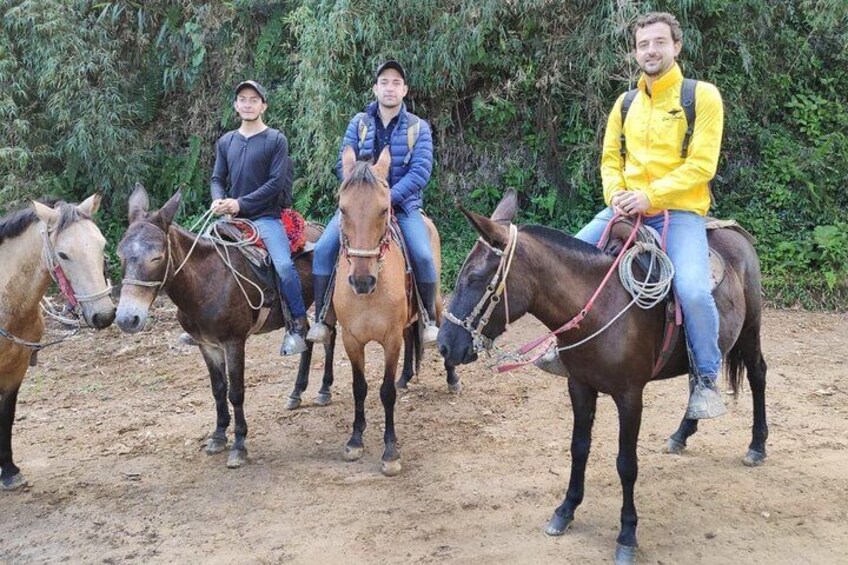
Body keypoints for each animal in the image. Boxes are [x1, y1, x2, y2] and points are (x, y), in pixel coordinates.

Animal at [0, 195, 116, 490]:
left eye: (102, 245)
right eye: (63, 255)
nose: (104, 315)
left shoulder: (16, 369)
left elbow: (7, 415)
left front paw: (9, 471)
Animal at [113, 185, 338, 468]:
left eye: (157, 256)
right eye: (120, 254)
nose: (126, 319)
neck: (208, 282)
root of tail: (318, 227)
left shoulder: (234, 343)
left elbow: (236, 392)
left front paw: (239, 445)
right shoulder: (207, 345)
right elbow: (218, 390)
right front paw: (219, 436)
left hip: (329, 299)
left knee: (329, 337)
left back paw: (324, 390)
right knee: (305, 336)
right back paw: (296, 393)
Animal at [334, 147, 460, 476]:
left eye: (383, 210)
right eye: (342, 209)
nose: (362, 280)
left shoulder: (389, 339)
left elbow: (386, 392)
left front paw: (390, 452)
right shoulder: (351, 340)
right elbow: (359, 388)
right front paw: (355, 440)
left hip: (435, 300)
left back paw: (452, 379)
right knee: (409, 337)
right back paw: (406, 377)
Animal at [438, 191, 768, 564]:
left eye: (477, 278)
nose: (445, 345)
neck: (600, 308)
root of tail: (735, 234)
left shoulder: (630, 396)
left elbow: (626, 464)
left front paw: (627, 534)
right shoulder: (579, 386)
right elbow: (579, 447)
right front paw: (565, 510)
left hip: (750, 330)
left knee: (758, 375)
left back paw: (757, 446)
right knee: (697, 380)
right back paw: (682, 433)